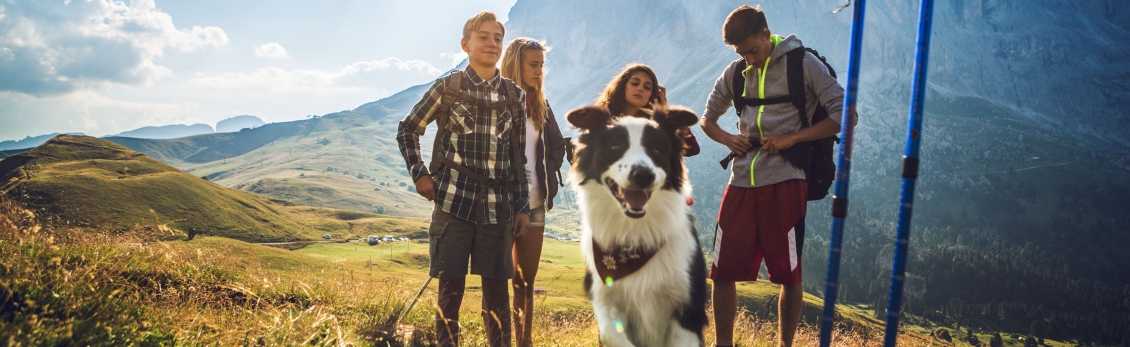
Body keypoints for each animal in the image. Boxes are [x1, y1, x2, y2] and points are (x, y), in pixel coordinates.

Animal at [565, 106, 705, 347]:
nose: (643, 175)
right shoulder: (603, 293)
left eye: (657, 149)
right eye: (615, 147)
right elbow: (610, 333)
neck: (635, 233)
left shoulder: (689, 308)